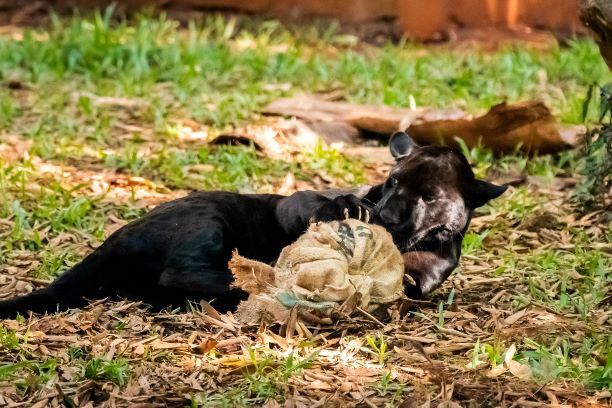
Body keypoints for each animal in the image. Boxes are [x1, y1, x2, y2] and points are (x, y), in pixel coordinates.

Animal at [0, 132, 506, 318]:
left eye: (429, 196)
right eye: (393, 180)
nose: (387, 215)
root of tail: (110, 242)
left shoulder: (425, 273)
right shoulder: (298, 201)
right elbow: (311, 204)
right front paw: (344, 208)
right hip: (206, 221)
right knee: (182, 274)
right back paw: (262, 286)